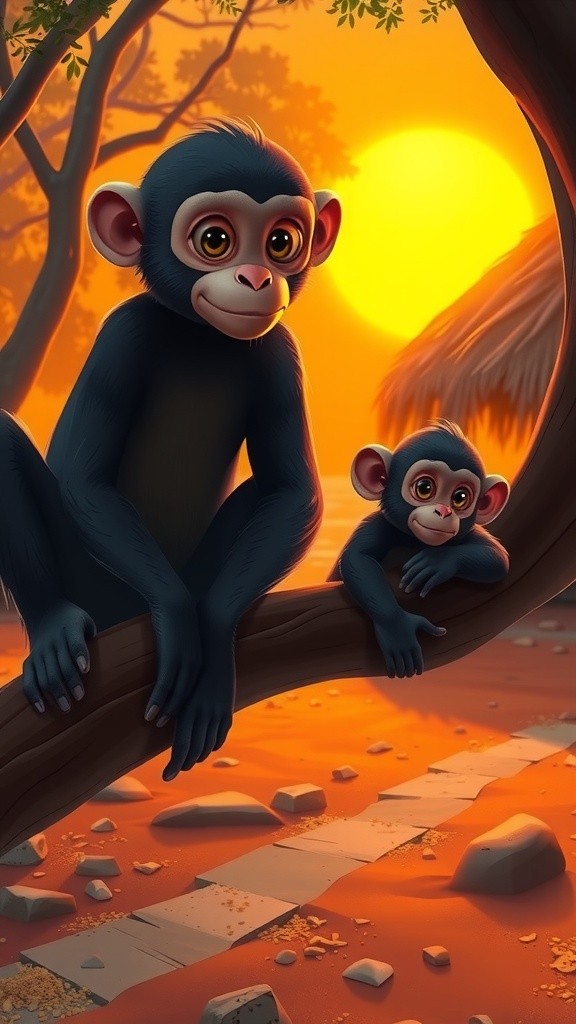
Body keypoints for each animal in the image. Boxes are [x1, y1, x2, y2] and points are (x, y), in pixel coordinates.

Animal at [0, 118, 341, 781]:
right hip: (94, 587)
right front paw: (178, 619)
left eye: (281, 242)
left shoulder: (280, 352)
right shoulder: (123, 334)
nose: (257, 277)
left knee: (265, 496)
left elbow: (293, 492)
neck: (199, 336)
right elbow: (83, 479)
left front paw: (209, 633)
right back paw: (52, 625)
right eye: (215, 240)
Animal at [329, 420, 510, 678]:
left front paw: (437, 562)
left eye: (460, 497)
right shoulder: (376, 525)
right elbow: (357, 560)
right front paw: (398, 629)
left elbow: (498, 557)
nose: (443, 511)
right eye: (425, 488)